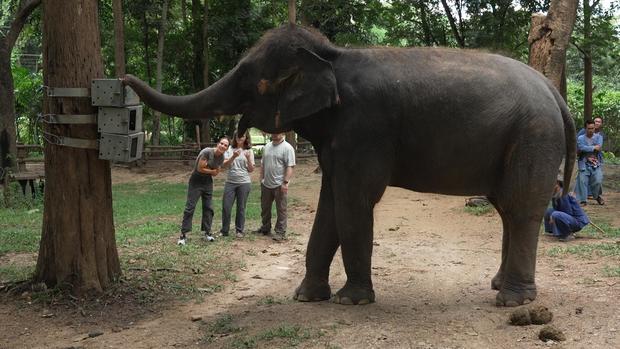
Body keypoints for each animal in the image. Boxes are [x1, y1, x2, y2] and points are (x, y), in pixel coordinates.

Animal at [124, 23, 576, 304]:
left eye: (255, 81)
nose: (125, 78)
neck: (332, 56)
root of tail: (554, 93)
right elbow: (330, 203)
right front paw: (306, 297)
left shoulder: (365, 127)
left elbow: (354, 200)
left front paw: (352, 300)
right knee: (507, 209)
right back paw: (500, 286)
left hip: (534, 135)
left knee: (520, 209)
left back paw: (512, 301)